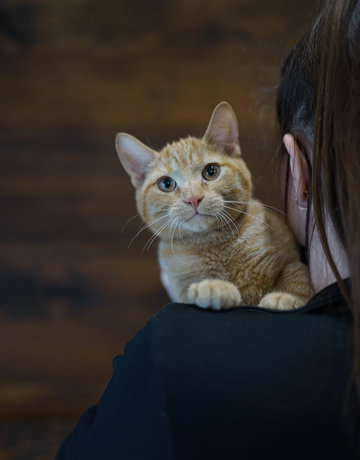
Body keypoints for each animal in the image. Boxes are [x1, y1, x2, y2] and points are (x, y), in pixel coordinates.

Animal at [115, 100, 312, 310]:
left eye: (211, 172)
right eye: (166, 184)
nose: (193, 198)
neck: (212, 244)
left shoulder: (291, 257)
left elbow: (297, 275)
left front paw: (286, 297)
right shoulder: (180, 290)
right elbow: (190, 291)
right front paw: (213, 287)